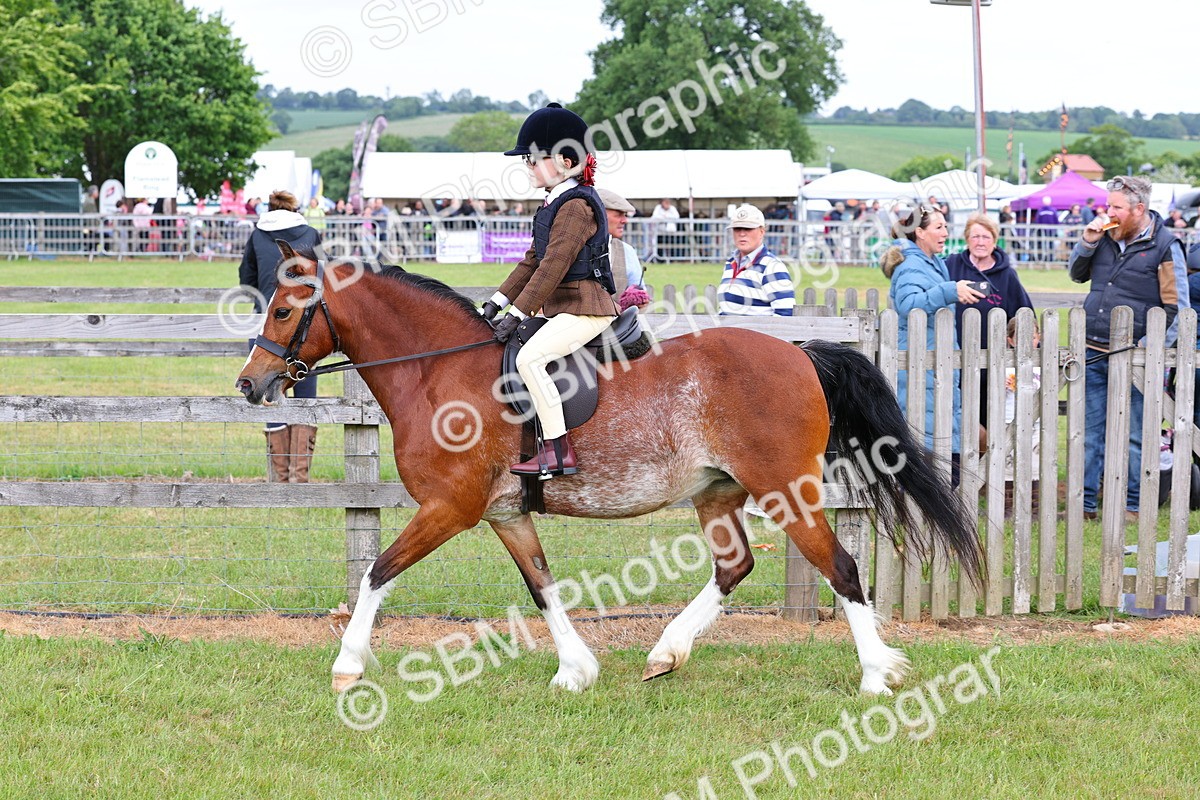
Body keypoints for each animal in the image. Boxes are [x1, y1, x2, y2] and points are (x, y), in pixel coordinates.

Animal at [236, 243, 984, 696]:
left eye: (284, 308)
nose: (248, 384)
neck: (437, 370)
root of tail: (799, 351)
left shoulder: (450, 509)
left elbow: (377, 573)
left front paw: (346, 666)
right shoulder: (505, 514)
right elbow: (543, 588)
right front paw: (576, 670)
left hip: (785, 491)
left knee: (842, 570)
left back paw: (874, 676)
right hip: (716, 493)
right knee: (734, 566)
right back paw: (666, 652)